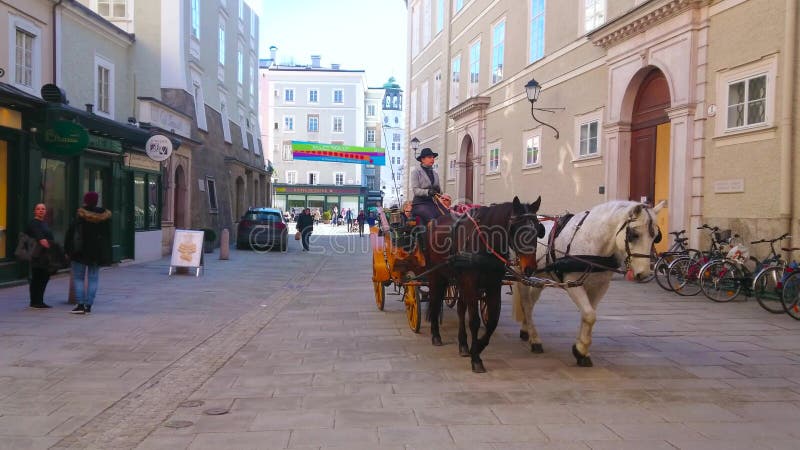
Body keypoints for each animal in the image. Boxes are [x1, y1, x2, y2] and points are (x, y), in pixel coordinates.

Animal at [424, 197, 544, 372]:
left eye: (538, 229)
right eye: (517, 229)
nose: (529, 268)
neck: (485, 242)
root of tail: (435, 222)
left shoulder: (493, 286)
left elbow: (493, 321)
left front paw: (478, 346)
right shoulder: (471, 283)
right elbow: (474, 321)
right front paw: (476, 358)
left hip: (459, 281)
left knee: (460, 309)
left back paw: (463, 344)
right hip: (437, 275)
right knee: (435, 300)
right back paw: (435, 335)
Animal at [512, 200, 664, 366]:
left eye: (656, 237)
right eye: (634, 235)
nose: (644, 274)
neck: (592, 242)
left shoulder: (600, 287)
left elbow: (587, 315)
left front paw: (581, 349)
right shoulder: (572, 283)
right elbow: (590, 315)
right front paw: (581, 350)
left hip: (539, 277)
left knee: (531, 302)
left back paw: (526, 330)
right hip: (521, 273)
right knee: (526, 304)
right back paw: (535, 340)